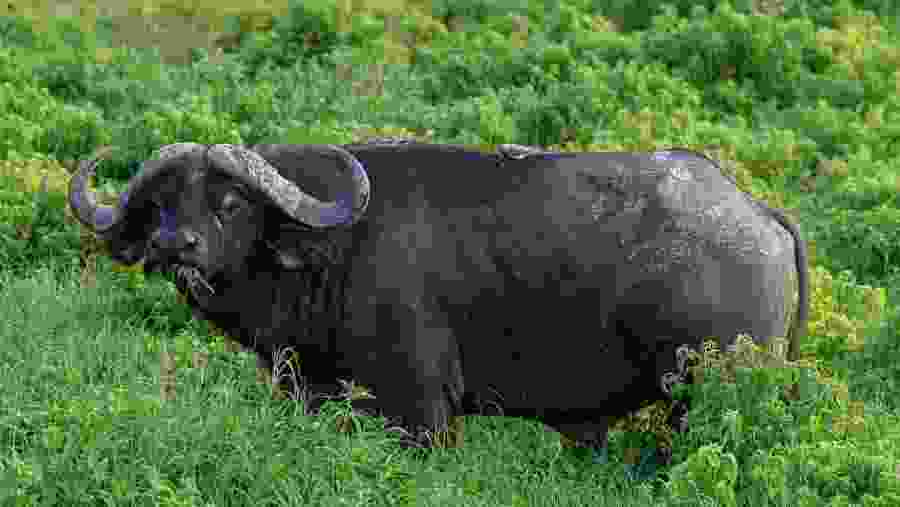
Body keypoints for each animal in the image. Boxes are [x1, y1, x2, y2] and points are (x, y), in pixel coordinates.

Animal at [68, 140, 807, 466]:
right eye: (164, 204)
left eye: (228, 203)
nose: (175, 245)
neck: (333, 249)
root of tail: (758, 213)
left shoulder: (420, 409)